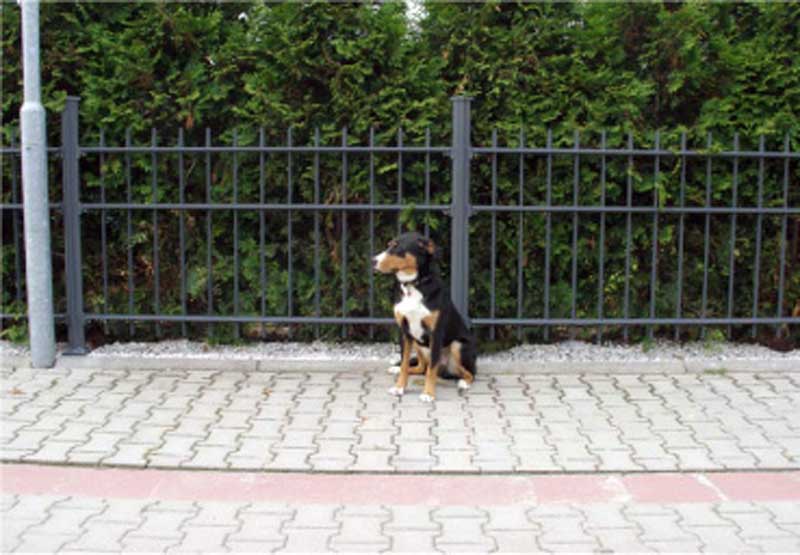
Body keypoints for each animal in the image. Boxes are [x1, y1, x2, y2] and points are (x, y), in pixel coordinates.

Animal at [373, 232, 477, 402]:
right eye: (389, 244)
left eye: (397, 247)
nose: (373, 261)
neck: (413, 285)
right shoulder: (404, 331)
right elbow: (405, 364)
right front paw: (399, 387)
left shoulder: (435, 333)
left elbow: (432, 369)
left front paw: (428, 393)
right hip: (417, 343)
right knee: (421, 367)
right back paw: (396, 369)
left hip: (458, 346)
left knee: (470, 372)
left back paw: (463, 383)